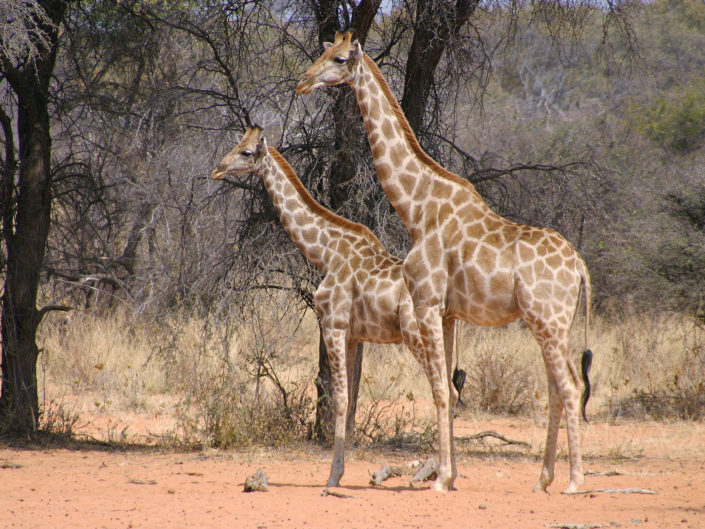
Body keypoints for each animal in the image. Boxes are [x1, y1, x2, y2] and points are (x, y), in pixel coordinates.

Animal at [211, 126, 437, 488]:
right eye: (237, 144)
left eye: (246, 152)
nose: (217, 169)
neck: (326, 254)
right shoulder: (354, 334)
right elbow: (347, 397)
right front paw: (339, 472)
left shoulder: (332, 323)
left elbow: (341, 397)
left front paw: (333, 477)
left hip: (415, 334)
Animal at [297, 31, 593, 494]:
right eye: (322, 52)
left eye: (340, 58)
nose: (303, 82)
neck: (416, 208)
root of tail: (579, 266)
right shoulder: (449, 312)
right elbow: (449, 390)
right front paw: (449, 476)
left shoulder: (427, 302)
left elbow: (439, 389)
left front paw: (439, 480)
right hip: (552, 323)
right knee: (556, 388)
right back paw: (543, 478)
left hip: (547, 319)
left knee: (570, 385)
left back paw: (574, 480)